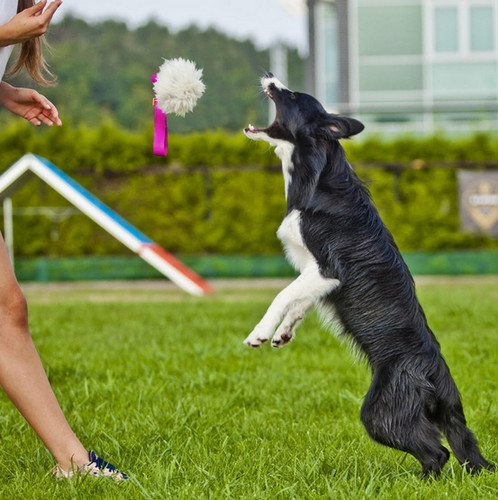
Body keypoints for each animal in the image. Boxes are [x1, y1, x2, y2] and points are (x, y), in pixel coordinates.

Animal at [242, 72, 494, 474]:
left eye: (291, 95)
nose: (269, 76)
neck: (316, 178)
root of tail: (438, 379)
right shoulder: (314, 275)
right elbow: (299, 302)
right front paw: (283, 334)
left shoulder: (327, 270)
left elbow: (283, 294)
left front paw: (260, 334)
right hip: (446, 420)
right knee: (458, 447)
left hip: (380, 413)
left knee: (436, 452)